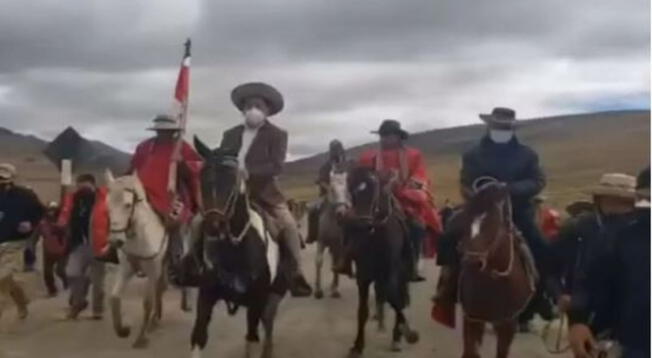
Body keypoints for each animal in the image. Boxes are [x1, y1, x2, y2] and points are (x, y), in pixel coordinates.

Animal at [104, 172, 168, 348]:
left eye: (127, 205)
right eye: (107, 205)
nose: (115, 241)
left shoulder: (153, 271)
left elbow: (147, 303)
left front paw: (141, 338)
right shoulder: (127, 269)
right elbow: (114, 297)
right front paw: (122, 330)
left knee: (159, 289)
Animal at [188, 138, 290, 358]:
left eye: (231, 178)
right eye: (201, 176)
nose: (214, 226)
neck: (235, 247)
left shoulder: (257, 300)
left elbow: (252, 337)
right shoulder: (207, 295)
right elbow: (199, 336)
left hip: (273, 295)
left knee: (267, 324)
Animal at [344, 166, 420, 356]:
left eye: (374, 186)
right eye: (351, 189)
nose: (363, 224)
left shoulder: (391, 272)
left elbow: (395, 298)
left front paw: (407, 334)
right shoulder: (363, 275)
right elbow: (362, 310)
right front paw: (358, 344)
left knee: (398, 295)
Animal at [456, 178, 536, 358]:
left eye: (494, 221)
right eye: (464, 218)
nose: (472, 262)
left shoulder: (508, 324)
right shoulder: (472, 319)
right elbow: (470, 351)